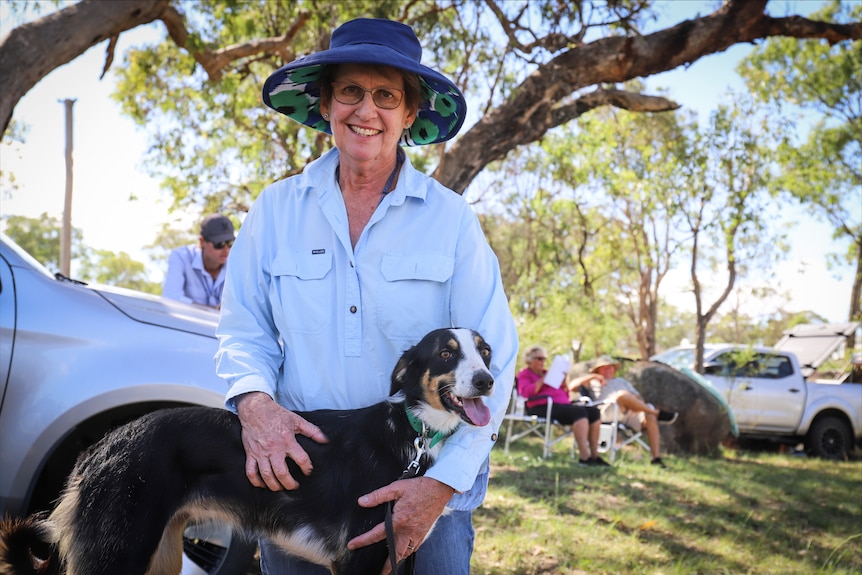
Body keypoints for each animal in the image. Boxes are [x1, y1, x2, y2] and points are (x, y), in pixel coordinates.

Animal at [0, 328, 496, 575]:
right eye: (447, 354)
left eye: (486, 352)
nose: (489, 380)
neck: (410, 433)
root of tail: (104, 445)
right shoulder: (358, 559)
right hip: (120, 555)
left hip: (159, 557)